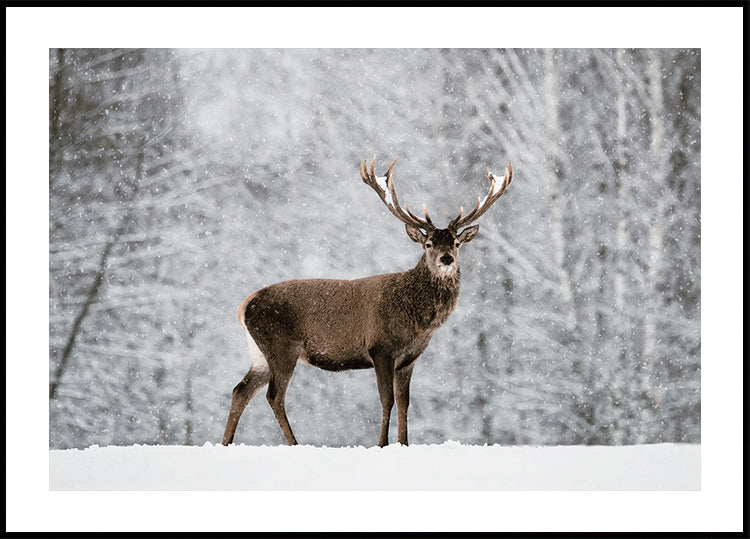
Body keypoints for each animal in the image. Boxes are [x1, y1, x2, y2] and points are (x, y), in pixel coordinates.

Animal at [222, 156, 513, 447]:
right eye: (428, 243)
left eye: (455, 243)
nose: (446, 259)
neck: (418, 321)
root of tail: (243, 306)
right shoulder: (380, 347)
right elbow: (387, 400)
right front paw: (382, 444)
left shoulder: (409, 358)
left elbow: (405, 402)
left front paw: (404, 444)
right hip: (281, 346)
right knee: (274, 396)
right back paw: (294, 443)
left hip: (260, 353)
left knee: (241, 390)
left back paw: (226, 442)